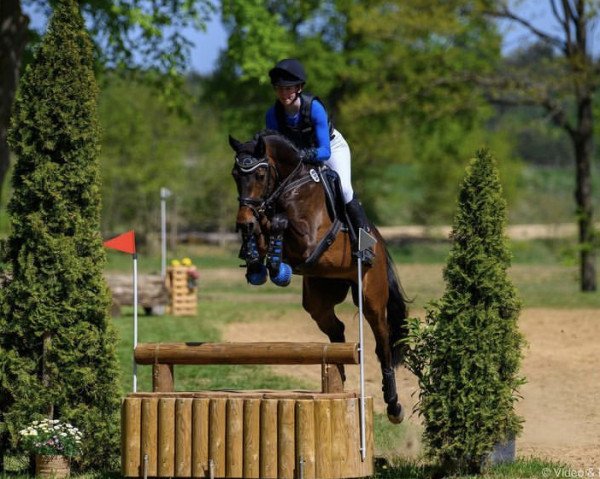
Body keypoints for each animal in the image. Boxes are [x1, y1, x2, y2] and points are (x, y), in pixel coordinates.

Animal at [229, 131, 408, 424]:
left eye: (260, 175)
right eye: (235, 174)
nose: (243, 220)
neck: (289, 185)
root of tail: (379, 245)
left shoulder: (310, 241)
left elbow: (278, 223)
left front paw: (275, 263)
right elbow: (263, 229)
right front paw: (255, 257)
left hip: (370, 296)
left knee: (382, 343)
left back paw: (393, 405)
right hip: (319, 298)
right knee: (337, 330)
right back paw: (338, 382)